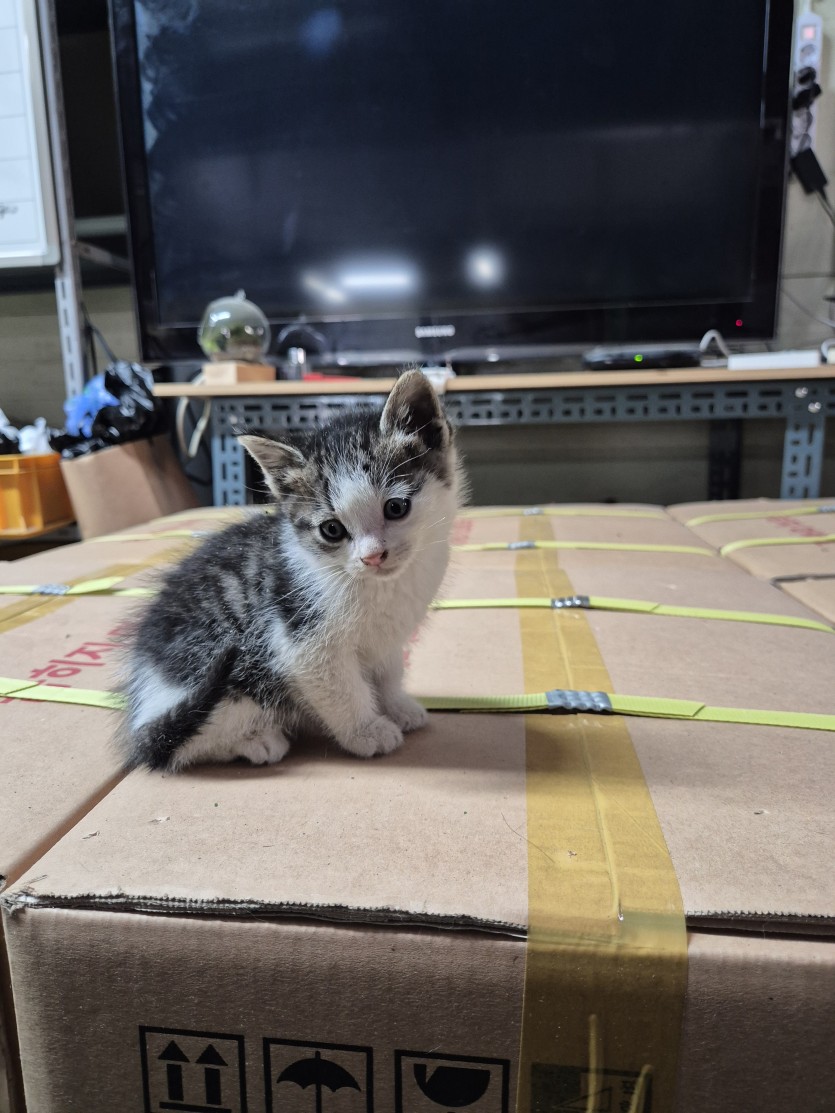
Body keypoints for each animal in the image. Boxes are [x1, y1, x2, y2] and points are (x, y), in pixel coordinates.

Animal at [119, 369, 463, 771]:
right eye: (332, 530)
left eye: (396, 508)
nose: (373, 557)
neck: (380, 585)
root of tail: (145, 706)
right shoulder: (302, 641)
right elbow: (341, 687)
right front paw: (366, 730)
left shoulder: (388, 636)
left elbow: (389, 669)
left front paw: (397, 706)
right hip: (233, 670)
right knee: (186, 744)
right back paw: (255, 741)